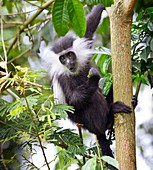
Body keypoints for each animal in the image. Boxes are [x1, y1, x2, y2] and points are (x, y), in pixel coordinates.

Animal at [40, 4, 131, 169]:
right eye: (62, 58)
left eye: (70, 55)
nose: (68, 63)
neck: (74, 71)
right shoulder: (63, 78)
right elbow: (73, 101)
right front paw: (94, 76)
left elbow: (88, 29)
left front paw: (101, 6)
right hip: (91, 121)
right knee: (92, 99)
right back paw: (109, 117)